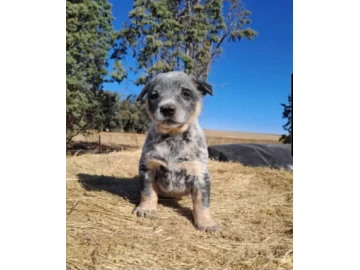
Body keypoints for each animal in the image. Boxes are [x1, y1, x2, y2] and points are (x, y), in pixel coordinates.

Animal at [132, 71, 219, 232]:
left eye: (186, 93)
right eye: (154, 95)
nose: (167, 109)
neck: (173, 138)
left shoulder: (200, 174)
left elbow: (202, 203)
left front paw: (206, 223)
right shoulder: (148, 167)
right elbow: (147, 192)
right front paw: (146, 209)